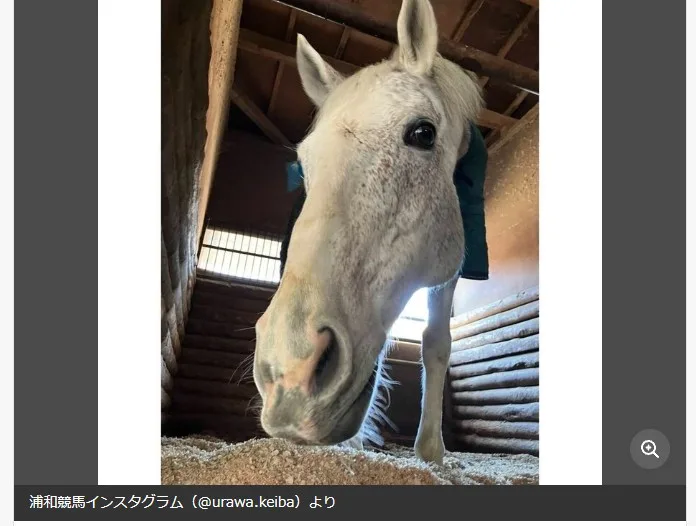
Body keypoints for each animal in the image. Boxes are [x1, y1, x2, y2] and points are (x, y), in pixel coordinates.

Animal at [252, 0, 484, 464]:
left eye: (423, 133)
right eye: (303, 163)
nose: (289, 370)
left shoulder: (452, 262)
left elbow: (435, 344)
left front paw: (430, 452)